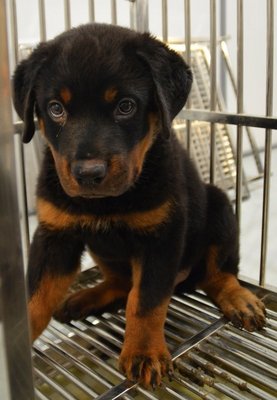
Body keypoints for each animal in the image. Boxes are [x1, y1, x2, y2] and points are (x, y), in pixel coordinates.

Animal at [12, 22, 266, 388]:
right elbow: (36, 296)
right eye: (56, 108)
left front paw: (144, 352)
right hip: (104, 252)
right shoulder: (54, 236)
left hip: (219, 209)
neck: (107, 204)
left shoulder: (161, 238)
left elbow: (145, 300)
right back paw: (86, 298)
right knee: (121, 282)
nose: (89, 173)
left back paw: (239, 299)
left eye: (126, 106)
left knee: (218, 272)